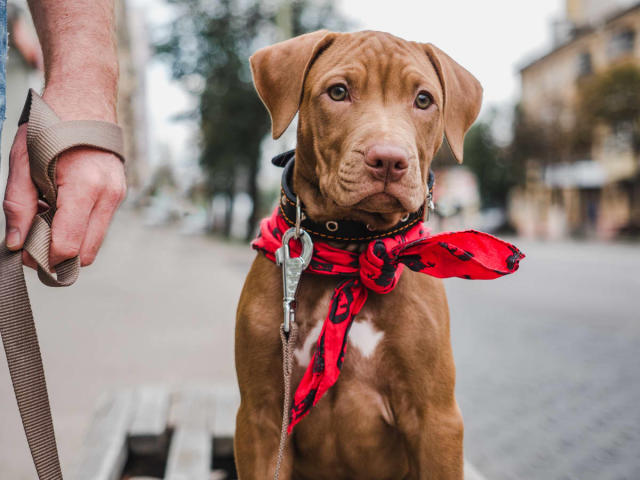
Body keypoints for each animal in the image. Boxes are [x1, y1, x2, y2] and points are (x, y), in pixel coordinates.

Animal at [235, 31, 480, 480]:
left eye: (423, 99)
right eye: (338, 92)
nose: (389, 160)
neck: (352, 250)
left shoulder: (436, 421)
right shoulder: (261, 420)